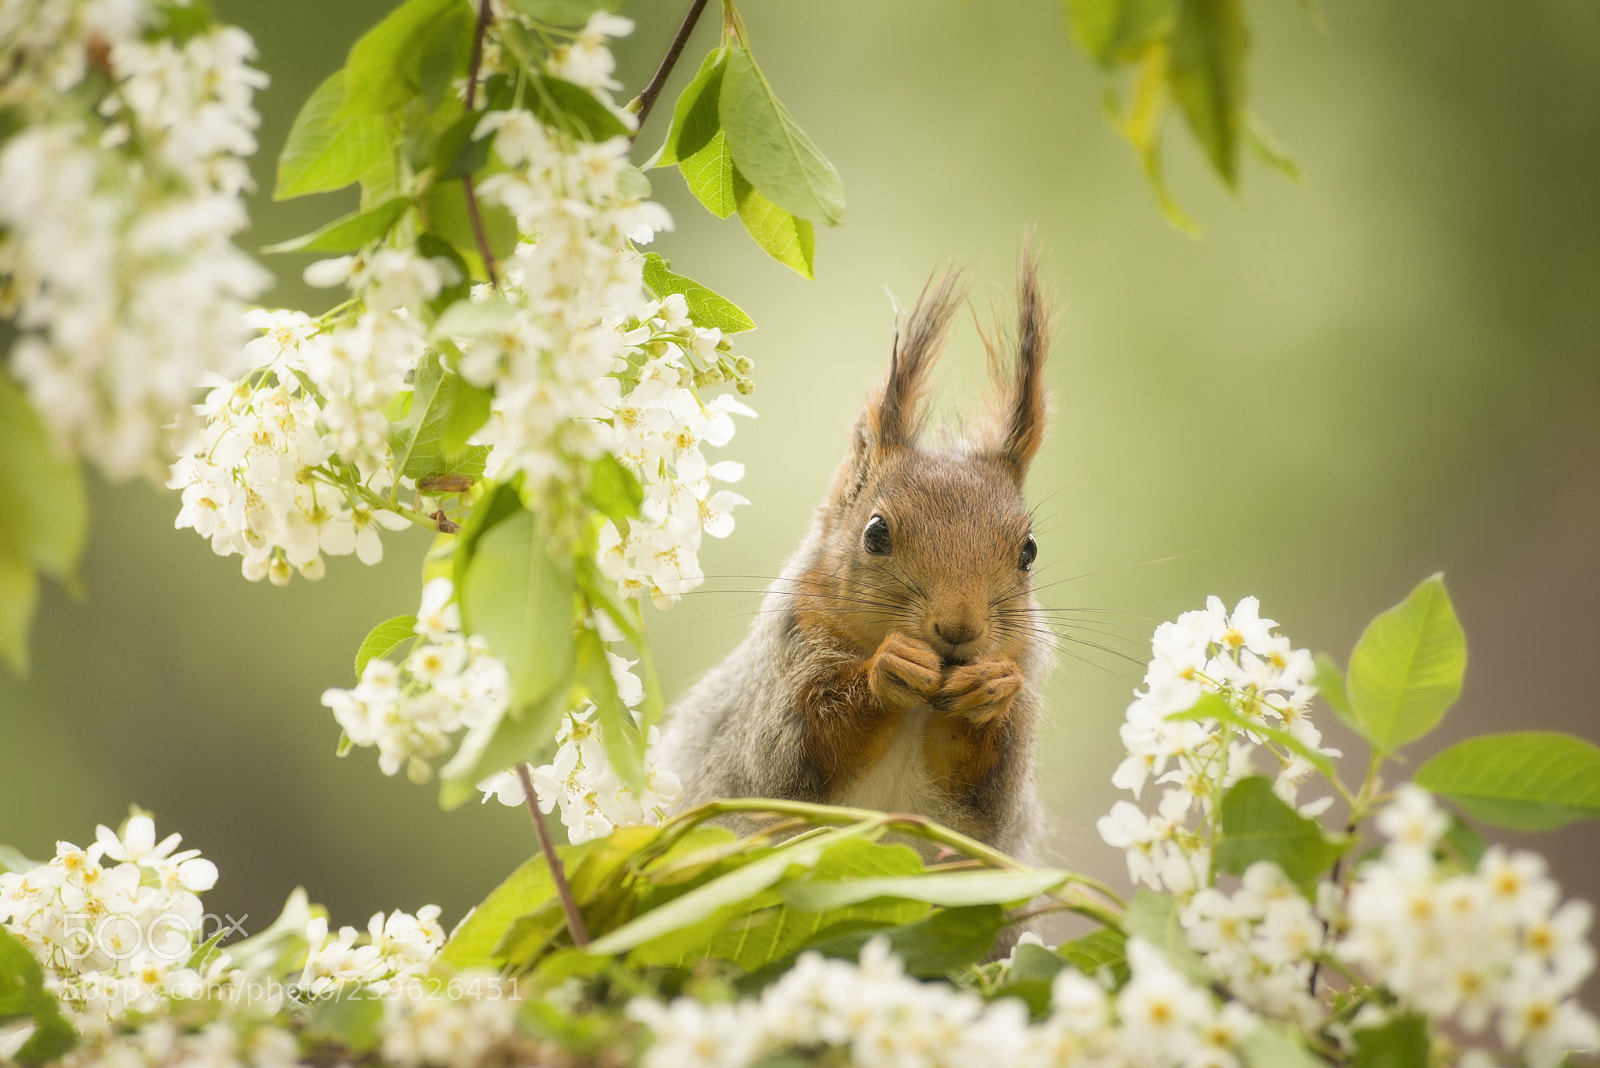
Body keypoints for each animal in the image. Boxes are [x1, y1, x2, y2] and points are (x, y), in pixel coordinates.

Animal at [658, 250, 1053, 863]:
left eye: (1028, 551)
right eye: (875, 533)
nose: (959, 630)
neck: (924, 705)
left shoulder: (1001, 773)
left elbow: (987, 790)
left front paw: (990, 687)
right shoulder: (781, 675)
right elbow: (796, 749)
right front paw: (889, 668)